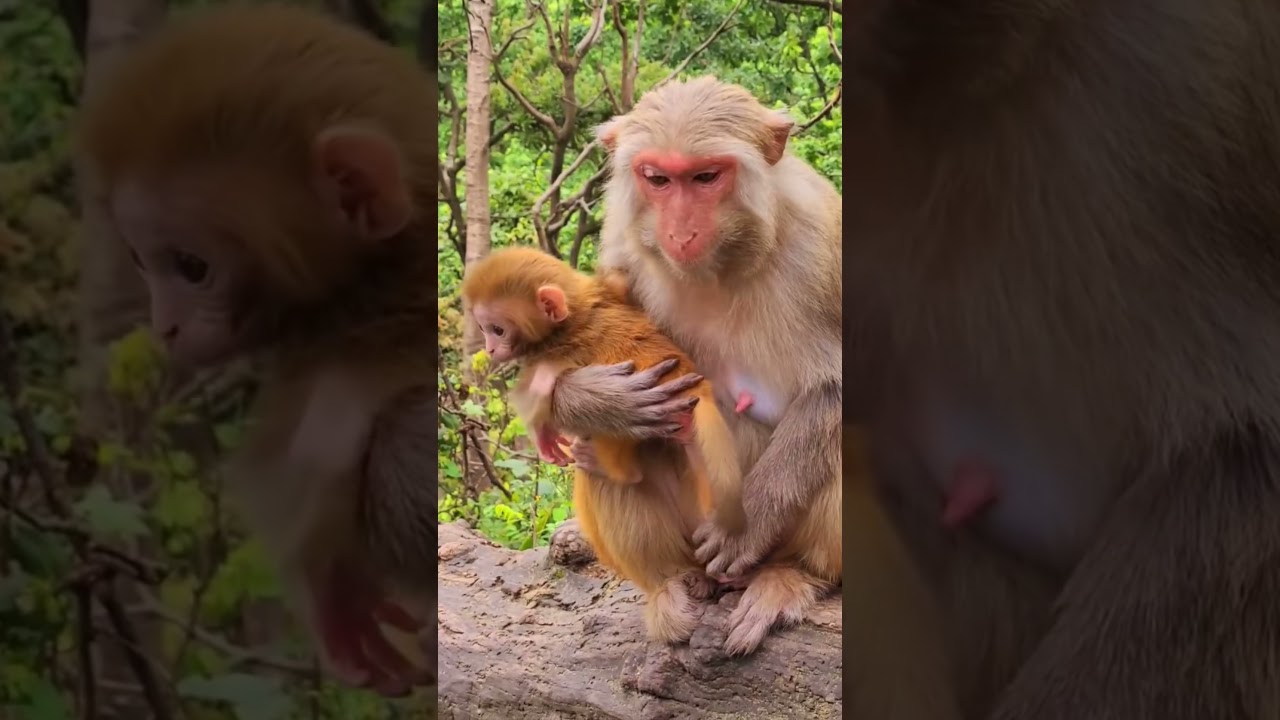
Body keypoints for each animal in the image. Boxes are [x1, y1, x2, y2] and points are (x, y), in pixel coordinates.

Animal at [459, 246, 746, 642]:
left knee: (611, 473)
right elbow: (621, 279)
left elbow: (538, 394)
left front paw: (548, 426)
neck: (576, 313)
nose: (488, 347)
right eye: (486, 329)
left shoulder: (549, 353)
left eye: (497, 328)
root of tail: (697, 389)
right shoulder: (607, 290)